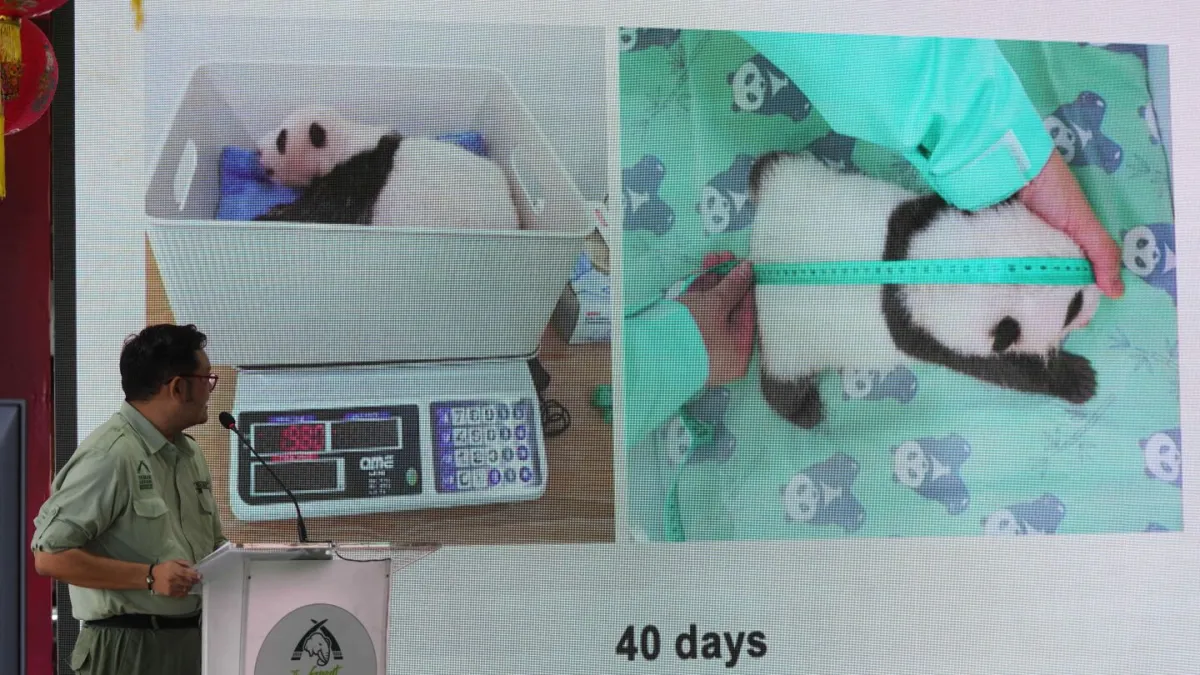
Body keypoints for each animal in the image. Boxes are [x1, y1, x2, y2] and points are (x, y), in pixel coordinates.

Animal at [254, 106, 520, 229]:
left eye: (281, 139)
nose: (257, 150)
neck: (344, 143)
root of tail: (513, 218)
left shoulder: (355, 179)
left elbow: (321, 213)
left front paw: (269, 214)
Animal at [748, 152, 1101, 428]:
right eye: (1073, 306)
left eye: (1077, 264)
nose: (1097, 294)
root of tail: (759, 254)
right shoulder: (932, 336)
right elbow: (1003, 369)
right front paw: (1078, 379)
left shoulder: (925, 215)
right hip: (792, 337)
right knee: (785, 376)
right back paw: (802, 409)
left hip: (799, 183)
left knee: (776, 165)